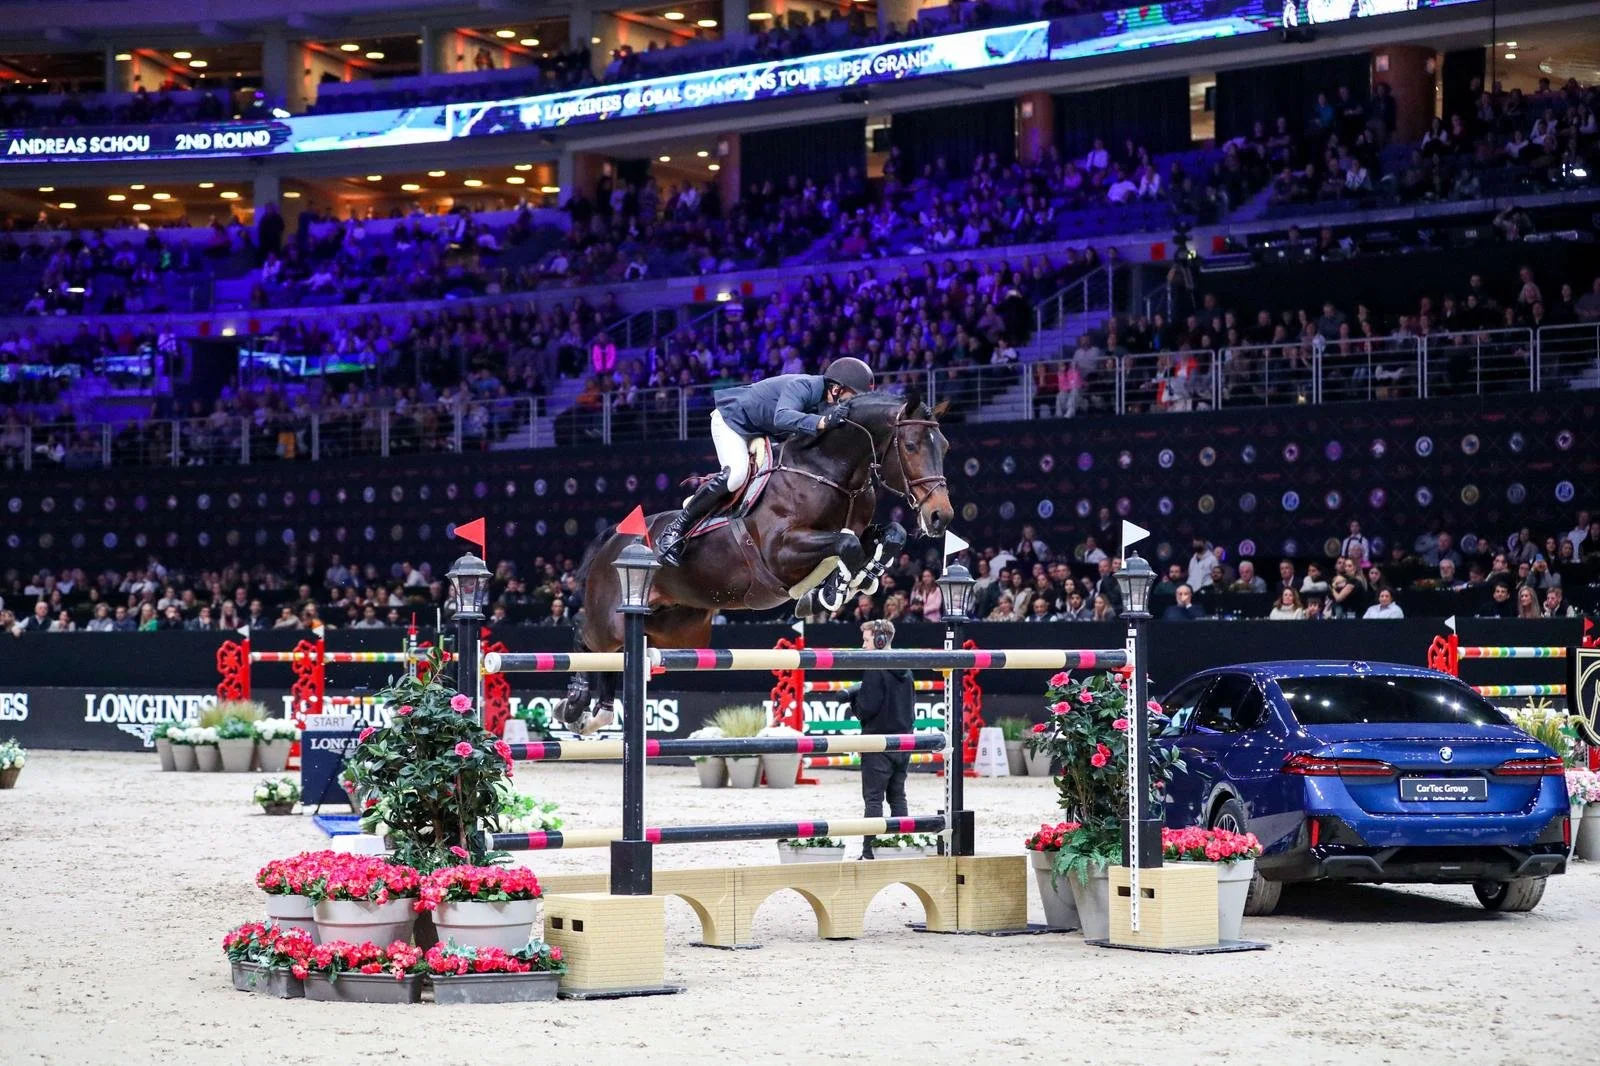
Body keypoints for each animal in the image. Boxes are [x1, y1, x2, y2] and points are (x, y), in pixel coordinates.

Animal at [557, 392, 955, 732]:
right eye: (911, 445)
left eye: (946, 446)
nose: (941, 517)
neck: (829, 472)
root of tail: (613, 539)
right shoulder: (780, 552)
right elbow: (847, 543)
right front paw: (833, 590)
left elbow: (889, 535)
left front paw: (857, 579)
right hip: (611, 615)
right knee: (584, 633)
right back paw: (574, 704)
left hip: (675, 628)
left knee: (619, 650)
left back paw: (598, 711)